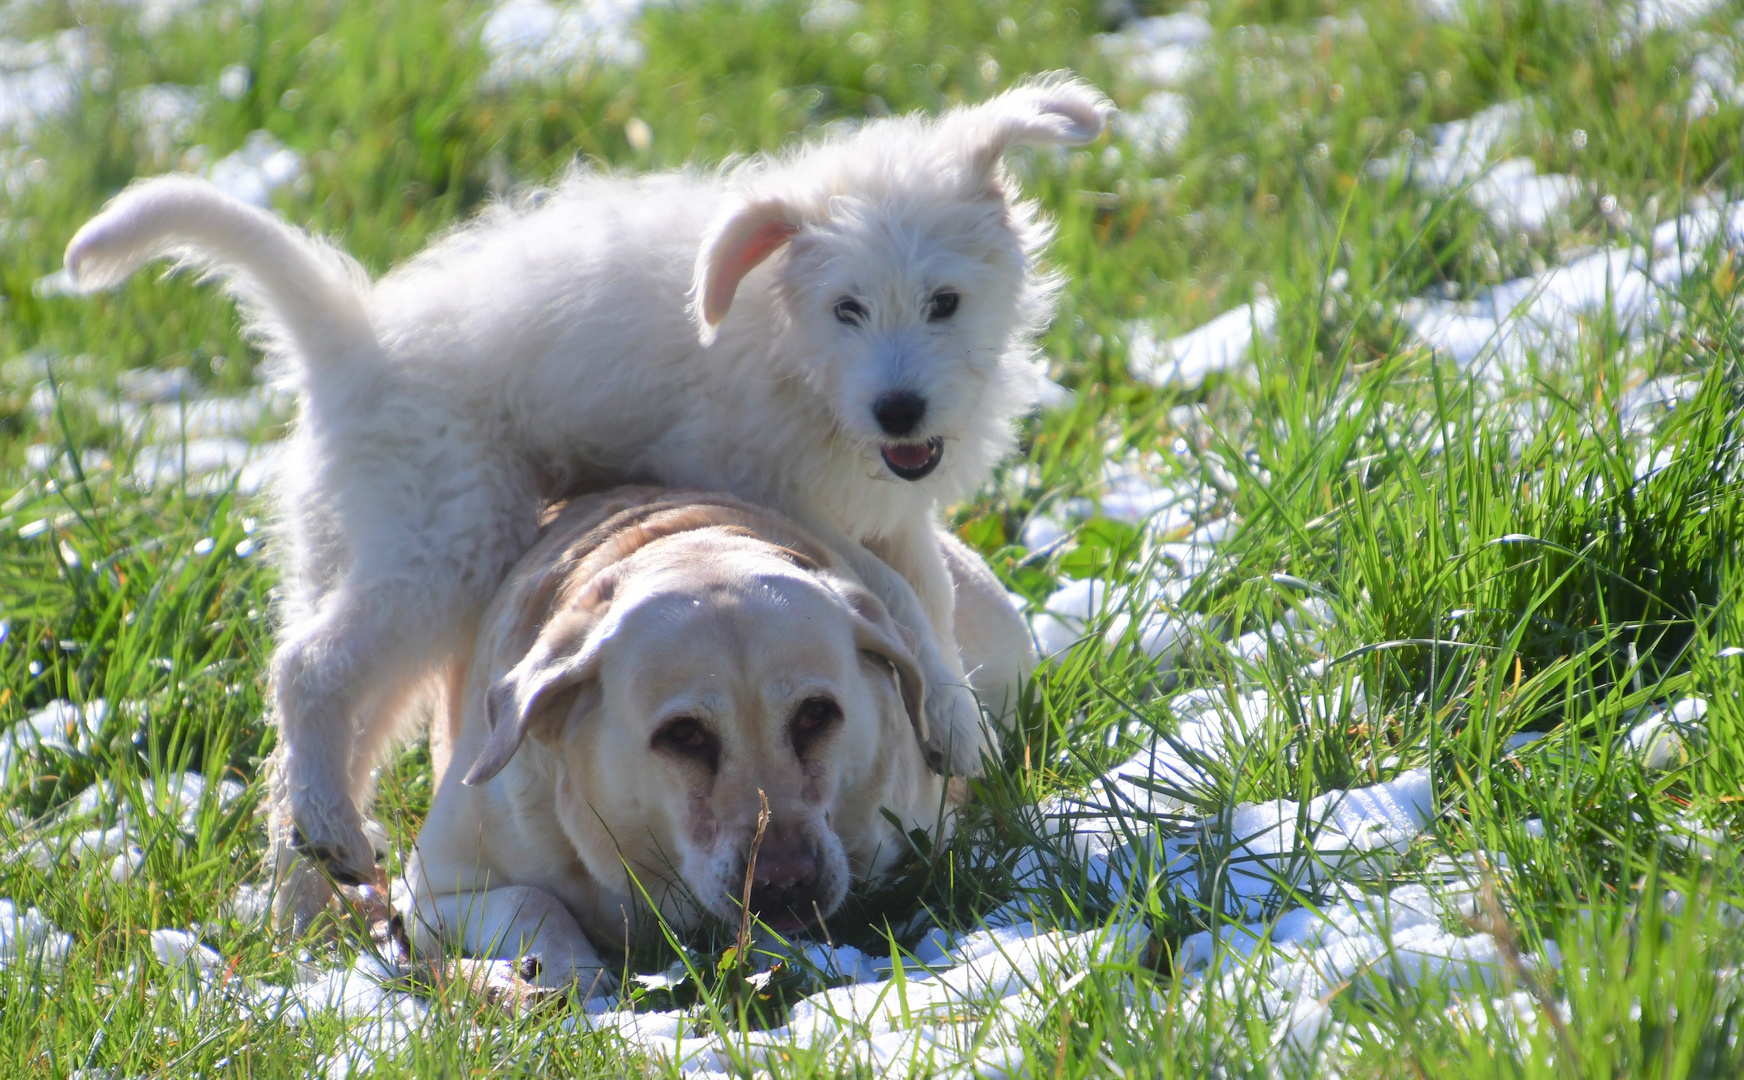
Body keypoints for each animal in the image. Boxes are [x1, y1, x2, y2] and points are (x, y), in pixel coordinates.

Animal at [64, 74, 1102, 886]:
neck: (790, 348)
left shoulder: (890, 504)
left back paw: (319, 851)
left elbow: (925, 594)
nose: (900, 411)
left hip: (357, 537)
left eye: (944, 303)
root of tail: (346, 340)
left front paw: (955, 715)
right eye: (847, 308)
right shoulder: (753, 477)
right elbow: (889, 591)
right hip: (448, 532)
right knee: (309, 667)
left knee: (336, 695)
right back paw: (326, 825)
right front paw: (954, 718)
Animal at [402, 495, 1018, 991]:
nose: (784, 885)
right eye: (684, 734)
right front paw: (564, 968)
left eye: (816, 715)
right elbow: (532, 899)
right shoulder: (425, 895)